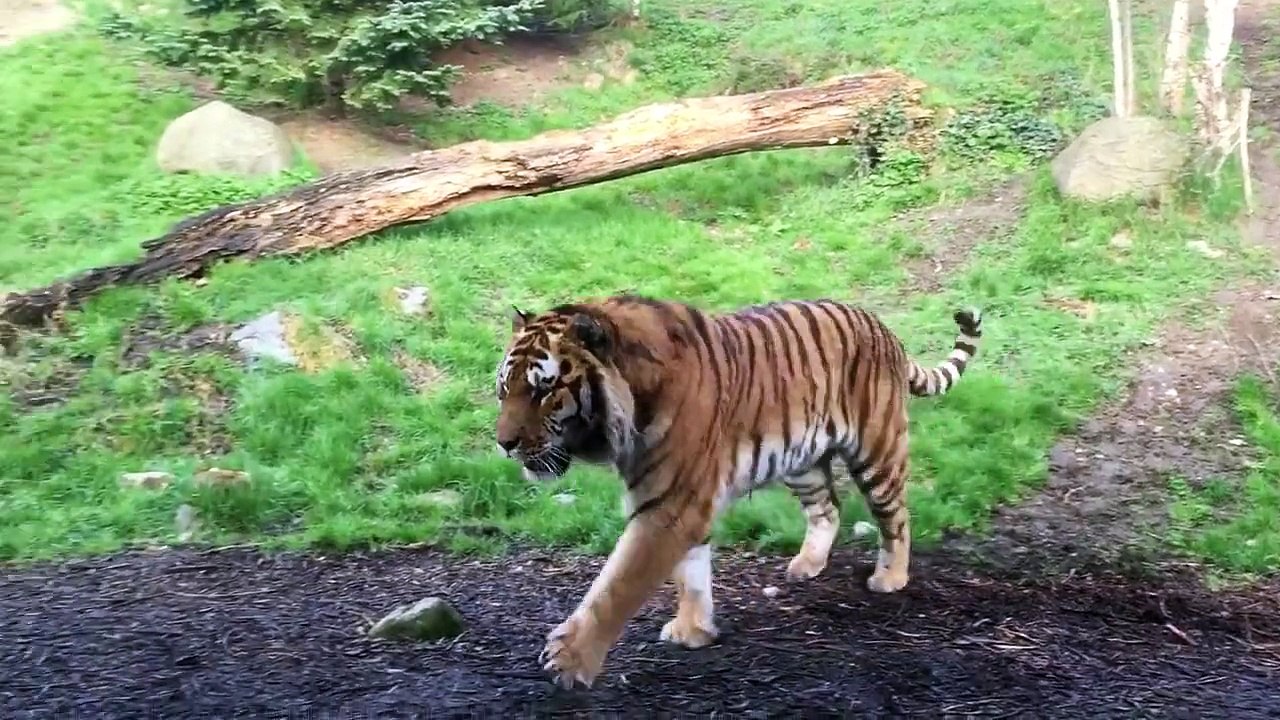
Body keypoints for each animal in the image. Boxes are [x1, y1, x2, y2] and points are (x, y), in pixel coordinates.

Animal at [494, 293, 983, 689]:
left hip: (877, 450)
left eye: (544, 389)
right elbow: (691, 575)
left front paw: (569, 662)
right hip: (801, 461)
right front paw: (694, 631)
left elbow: (616, 587)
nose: (503, 444)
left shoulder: (669, 506)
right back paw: (807, 565)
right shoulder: (679, 501)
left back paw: (891, 577)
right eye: (504, 389)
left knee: (896, 516)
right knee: (828, 508)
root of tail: (882, 326)